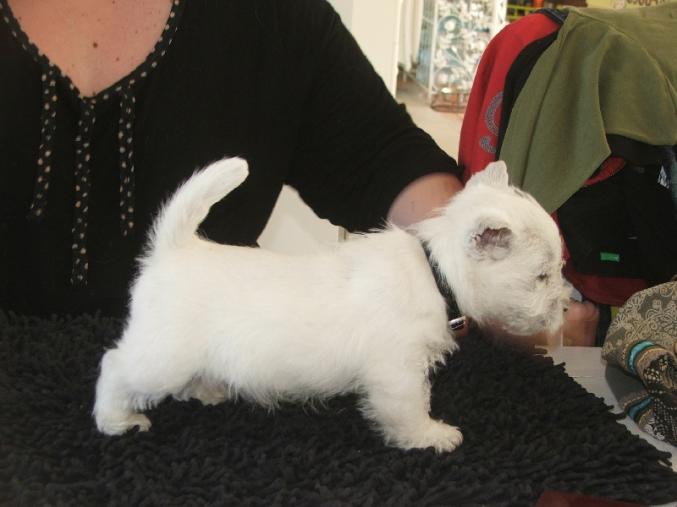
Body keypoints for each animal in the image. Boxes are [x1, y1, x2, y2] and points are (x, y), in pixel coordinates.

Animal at [93, 159, 572, 452]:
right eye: (541, 276)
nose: (566, 308)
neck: (437, 272)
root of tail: (172, 250)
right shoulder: (398, 371)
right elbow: (410, 406)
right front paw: (431, 435)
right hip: (162, 356)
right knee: (115, 367)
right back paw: (117, 420)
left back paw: (207, 389)